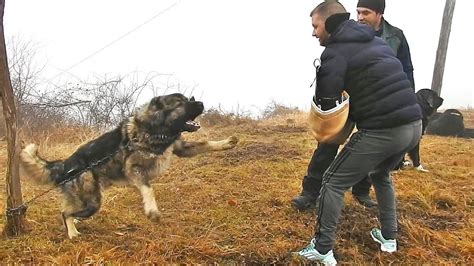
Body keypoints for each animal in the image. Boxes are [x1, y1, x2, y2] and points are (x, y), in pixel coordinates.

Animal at [19, 93, 239, 239]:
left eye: (190, 99)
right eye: (181, 103)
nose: (201, 103)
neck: (154, 130)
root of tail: (65, 164)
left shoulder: (181, 148)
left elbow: (206, 144)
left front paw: (227, 142)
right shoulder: (134, 170)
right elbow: (149, 189)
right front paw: (152, 211)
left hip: (88, 202)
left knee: (69, 211)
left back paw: (74, 225)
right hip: (92, 202)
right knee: (65, 213)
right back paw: (72, 233)